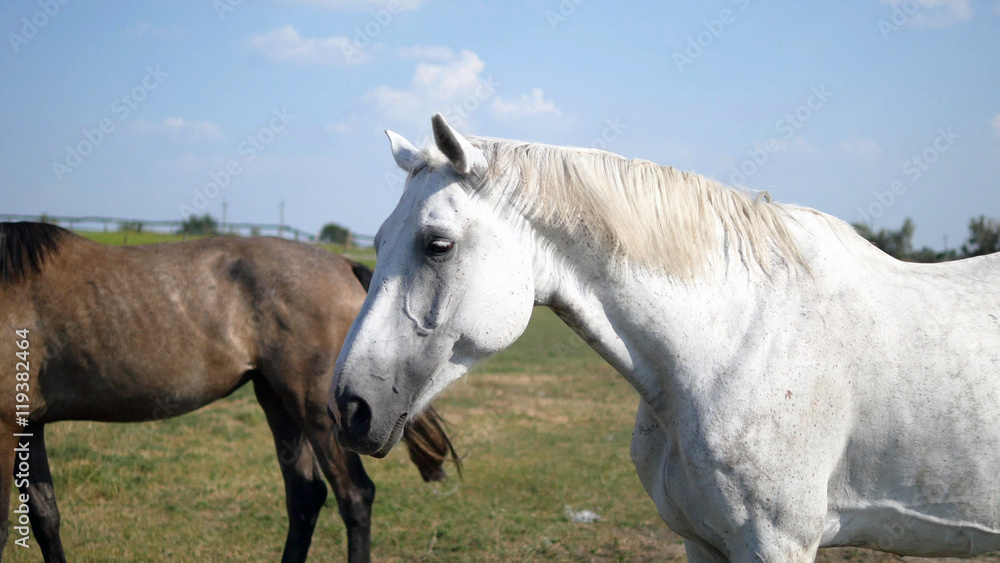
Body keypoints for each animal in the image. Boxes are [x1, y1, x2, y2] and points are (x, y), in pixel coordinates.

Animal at [0, 222, 459, 563]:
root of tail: (344, 265)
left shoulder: (5, 427)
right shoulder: (28, 426)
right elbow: (45, 518)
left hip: (318, 410)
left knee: (355, 497)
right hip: (278, 402)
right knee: (306, 497)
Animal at [329, 113, 1000, 561]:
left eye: (436, 243)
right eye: (378, 239)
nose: (350, 407)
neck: (732, 346)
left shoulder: (778, 543)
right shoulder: (701, 541)